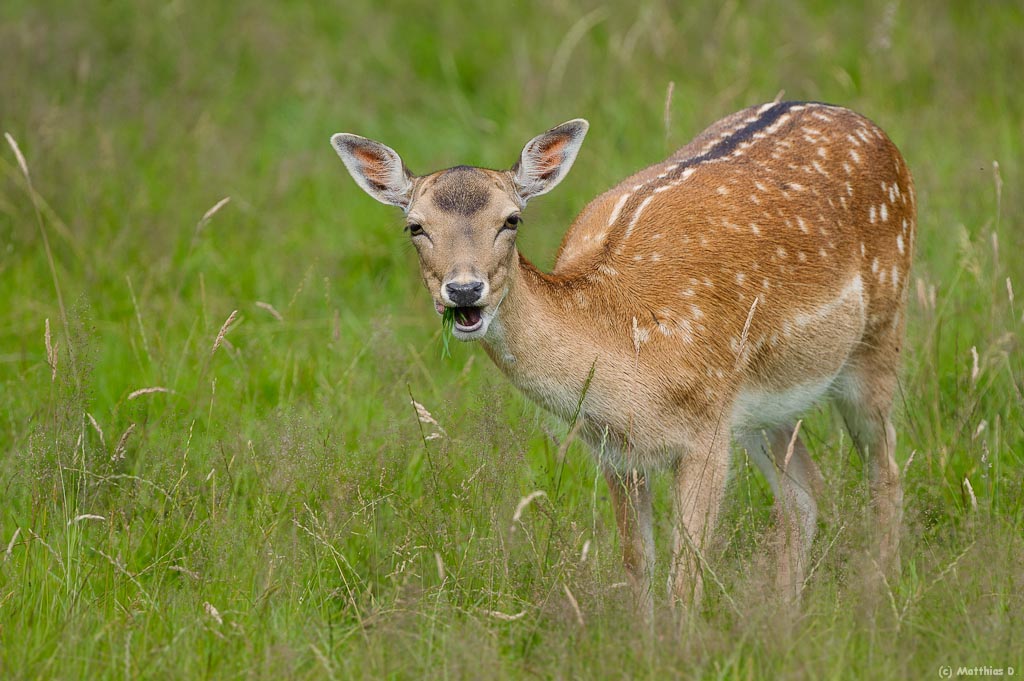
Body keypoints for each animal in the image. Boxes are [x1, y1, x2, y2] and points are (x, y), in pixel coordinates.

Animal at [330, 100, 915, 618]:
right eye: (414, 226)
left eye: (512, 219)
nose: (465, 290)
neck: (630, 357)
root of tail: (867, 125)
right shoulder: (614, 449)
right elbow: (638, 562)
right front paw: (644, 644)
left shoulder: (706, 431)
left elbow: (687, 571)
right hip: (766, 405)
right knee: (804, 494)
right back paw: (784, 619)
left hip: (880, 332)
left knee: (884, 470)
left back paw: (881, 598)